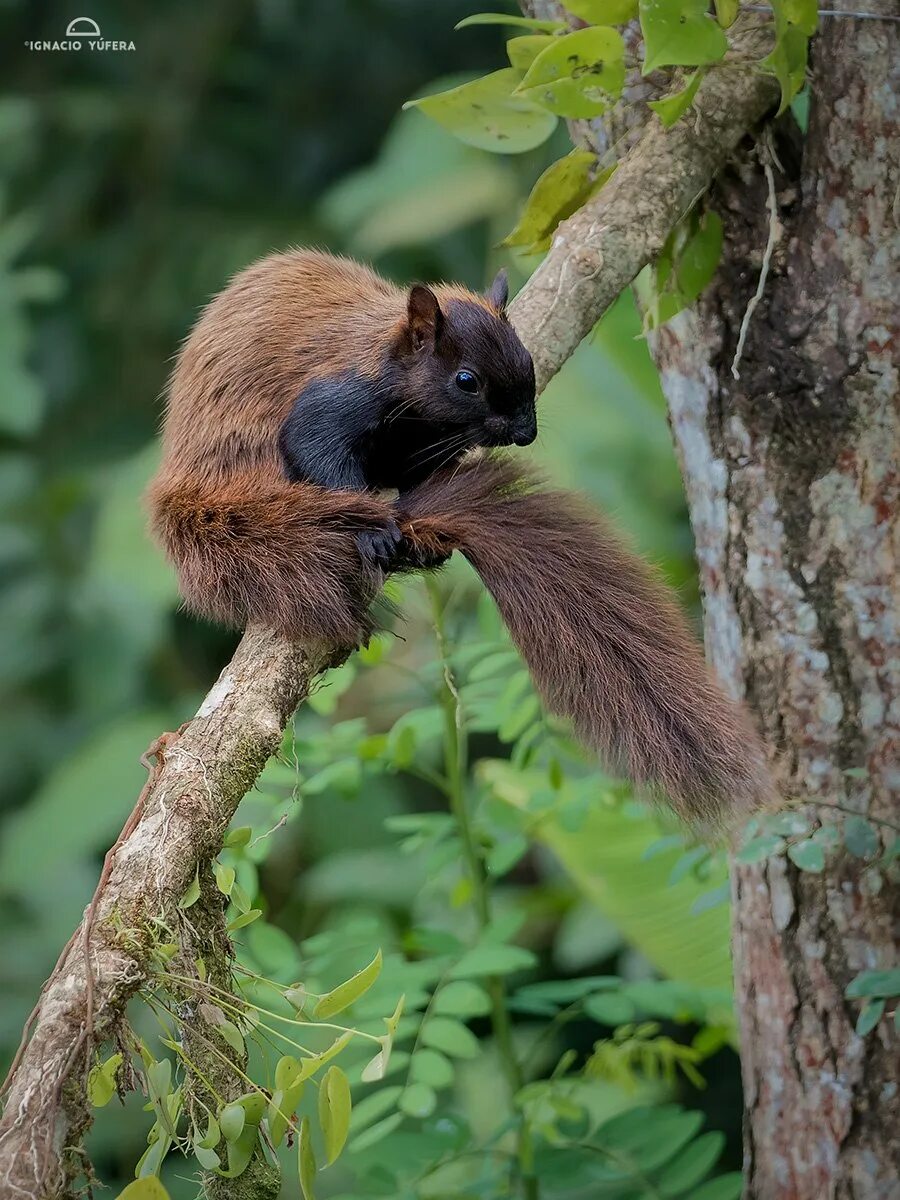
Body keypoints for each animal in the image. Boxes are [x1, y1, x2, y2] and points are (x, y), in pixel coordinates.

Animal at [150, 243, 777, 825]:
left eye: (527, 359)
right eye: (466, 380)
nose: (524, 431)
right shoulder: (330, 400)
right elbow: (318, 448)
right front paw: (375, 533)